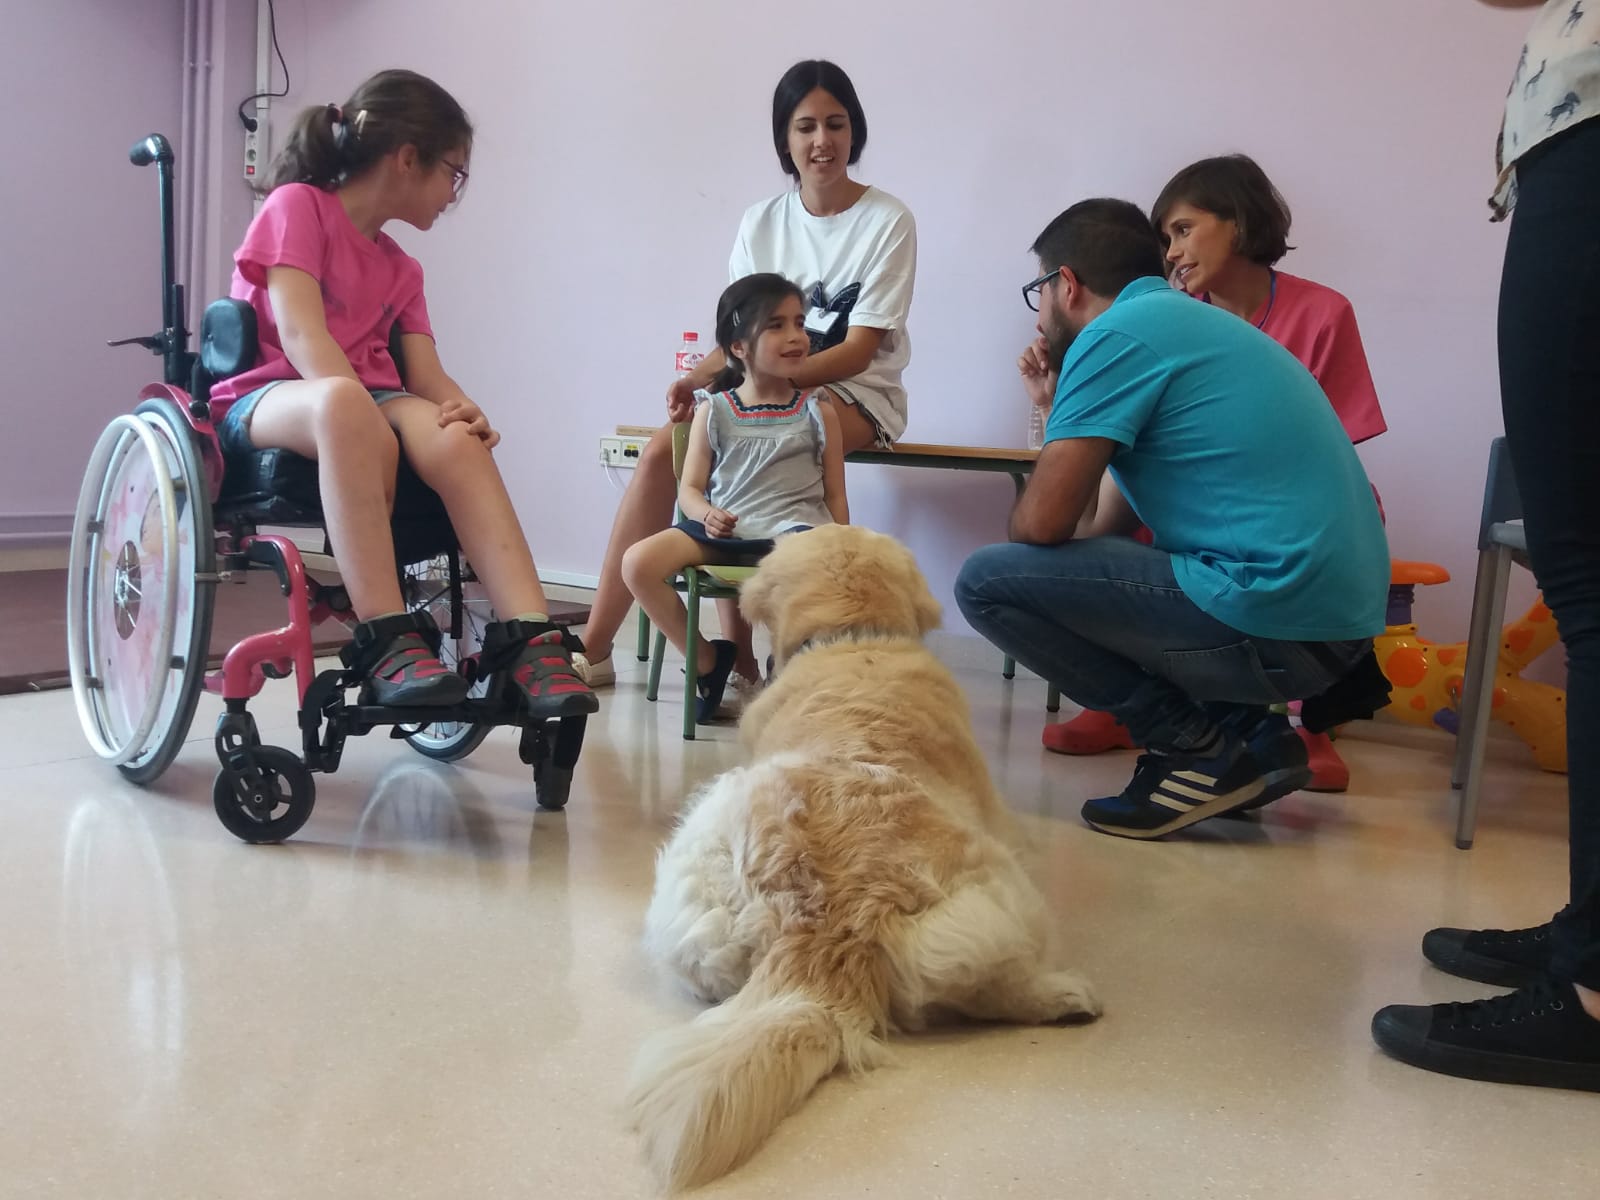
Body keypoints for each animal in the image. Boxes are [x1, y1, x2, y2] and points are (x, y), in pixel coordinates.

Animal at [625, 525, 1099, 1191]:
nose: (796, 526)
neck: (853, 636)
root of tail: (825, 932)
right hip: (1010, 900)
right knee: (997, 991)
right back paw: (1065, 997)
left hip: (691, 887)